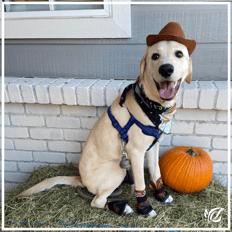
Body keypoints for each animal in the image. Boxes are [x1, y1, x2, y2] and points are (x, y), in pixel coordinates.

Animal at [14, 22, 196, 218]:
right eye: (155, 56)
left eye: (179, 54)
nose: (166, 69)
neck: (151, 105)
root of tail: (81, 179)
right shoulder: (136, 153)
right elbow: (140, 185)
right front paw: (145, 208)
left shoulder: (152, 147)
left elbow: (156, 173)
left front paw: (161, 195)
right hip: (118, 169)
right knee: (97, 200)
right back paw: (121, 207)